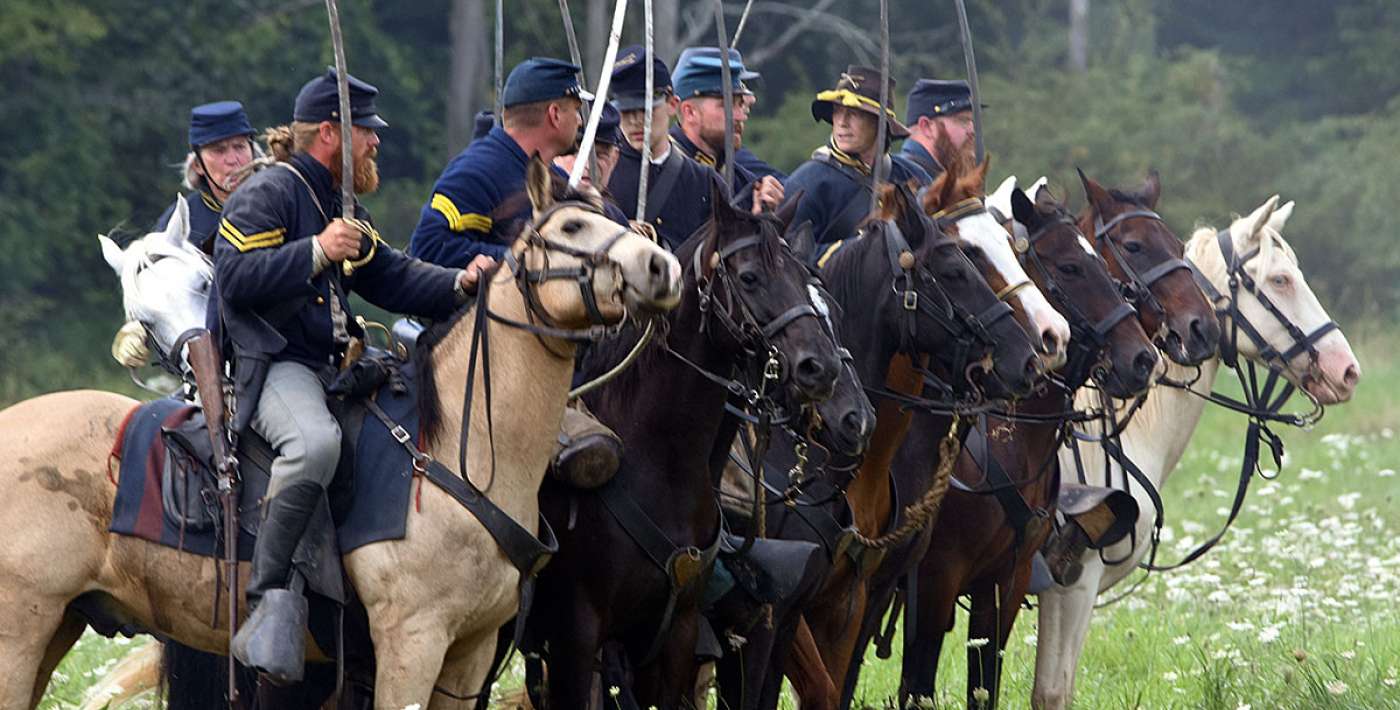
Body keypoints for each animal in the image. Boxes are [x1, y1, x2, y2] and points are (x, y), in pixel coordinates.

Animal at [0, 161, 683, 710]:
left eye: (614, 218)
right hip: (21, 635)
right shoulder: (411, 643)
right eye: (570, 229)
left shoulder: (467, 656)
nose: (663, 267)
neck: (452, 451)